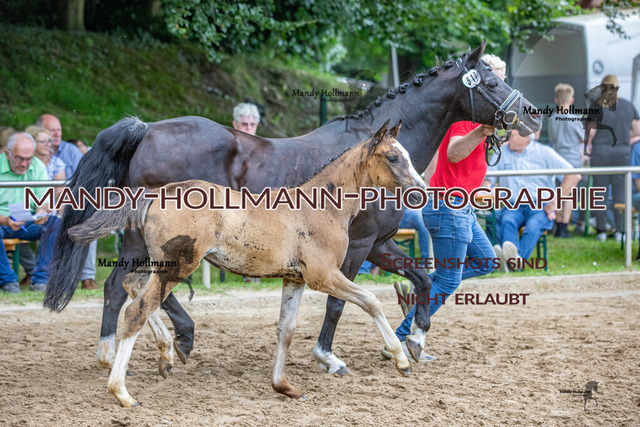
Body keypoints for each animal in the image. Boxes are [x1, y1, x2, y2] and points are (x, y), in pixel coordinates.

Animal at [44, 41, 541, 376]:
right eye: (491, 82)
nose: (533, 115)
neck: (364, 162)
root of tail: (145, 129)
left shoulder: (379, 244)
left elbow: (420, 279)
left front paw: (413, 341)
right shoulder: (355, 247)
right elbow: (340, 303)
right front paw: (330, 356)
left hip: (142, 240)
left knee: (120, 287)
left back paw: (126, 349)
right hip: (162, 242)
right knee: (131, 288)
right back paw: (164, 342)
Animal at [67, 121, 425, 406]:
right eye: (393, 157)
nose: (421, 190)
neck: (320, 207)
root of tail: (155, 196)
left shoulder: (294, 279)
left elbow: (286, 330)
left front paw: (284, 387)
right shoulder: (324, 275)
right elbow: (371, 301)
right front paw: (401, 359)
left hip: (159, 264)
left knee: (131, 285)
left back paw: (166, 353)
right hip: (177, 267)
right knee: (136, 310)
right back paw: (123, 392)